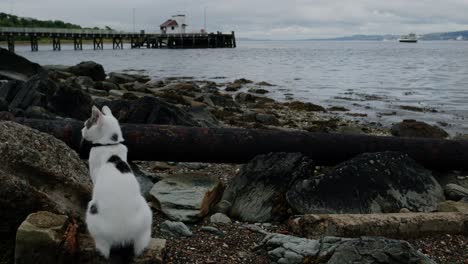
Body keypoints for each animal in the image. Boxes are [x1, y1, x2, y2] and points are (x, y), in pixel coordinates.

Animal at [81, 106, 152, 262]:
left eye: (86, 124)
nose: (81, 130)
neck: (110, 145)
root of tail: (123, 236)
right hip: (145, 221)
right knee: (140, 249)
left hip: (93, 217)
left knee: (103, 251)